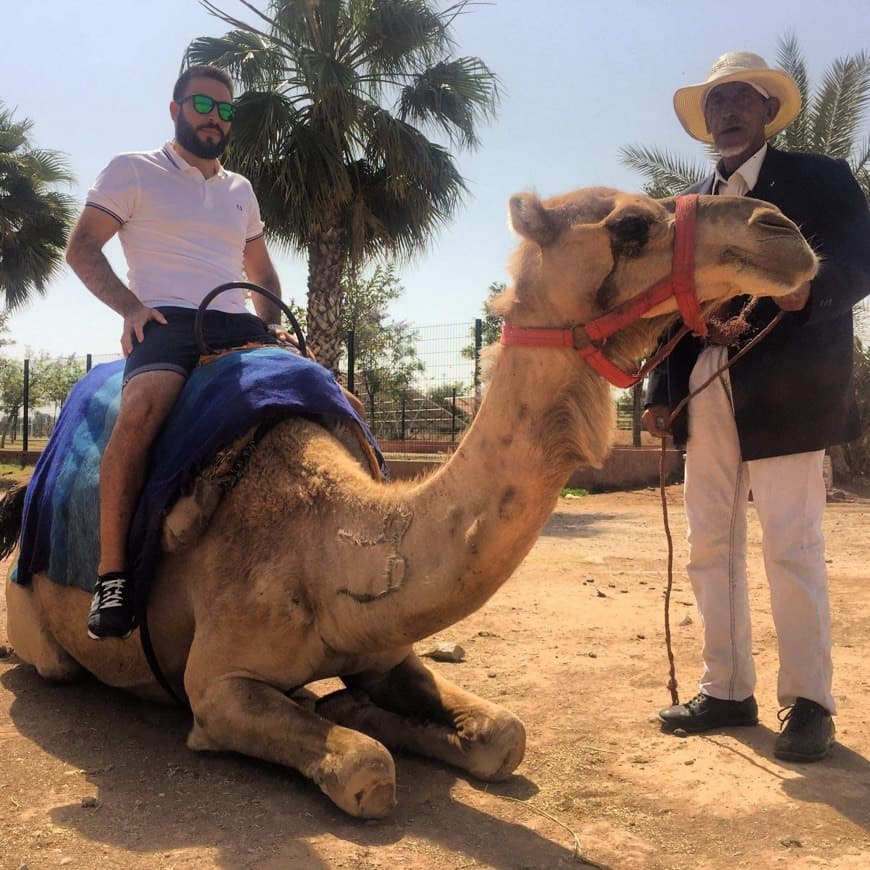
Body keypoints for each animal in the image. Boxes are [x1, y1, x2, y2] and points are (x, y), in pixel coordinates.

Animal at [1, 187, 816, 820]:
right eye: (632, 225)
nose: (785, 229)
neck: (326, 544)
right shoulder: (214, 684)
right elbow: (365, 769)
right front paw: (343, 723)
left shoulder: (386, 645)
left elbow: (504, 734)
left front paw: (350, 707)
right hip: (43, 635)